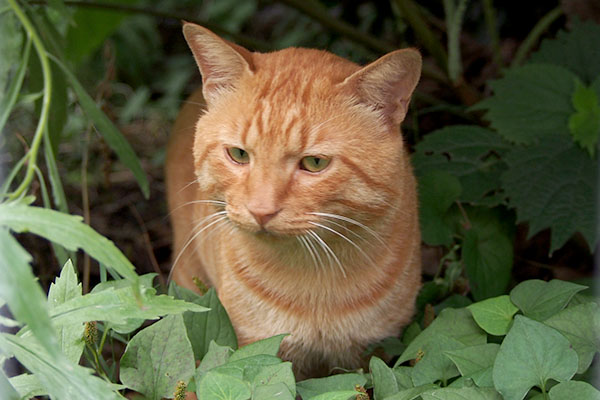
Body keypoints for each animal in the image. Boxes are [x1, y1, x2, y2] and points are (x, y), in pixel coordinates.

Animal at [166, 21, 422, 378]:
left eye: (314, 163)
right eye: (239, 154)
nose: (261, 211)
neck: (313, 278)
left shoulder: (372, 353)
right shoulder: (258, 350)